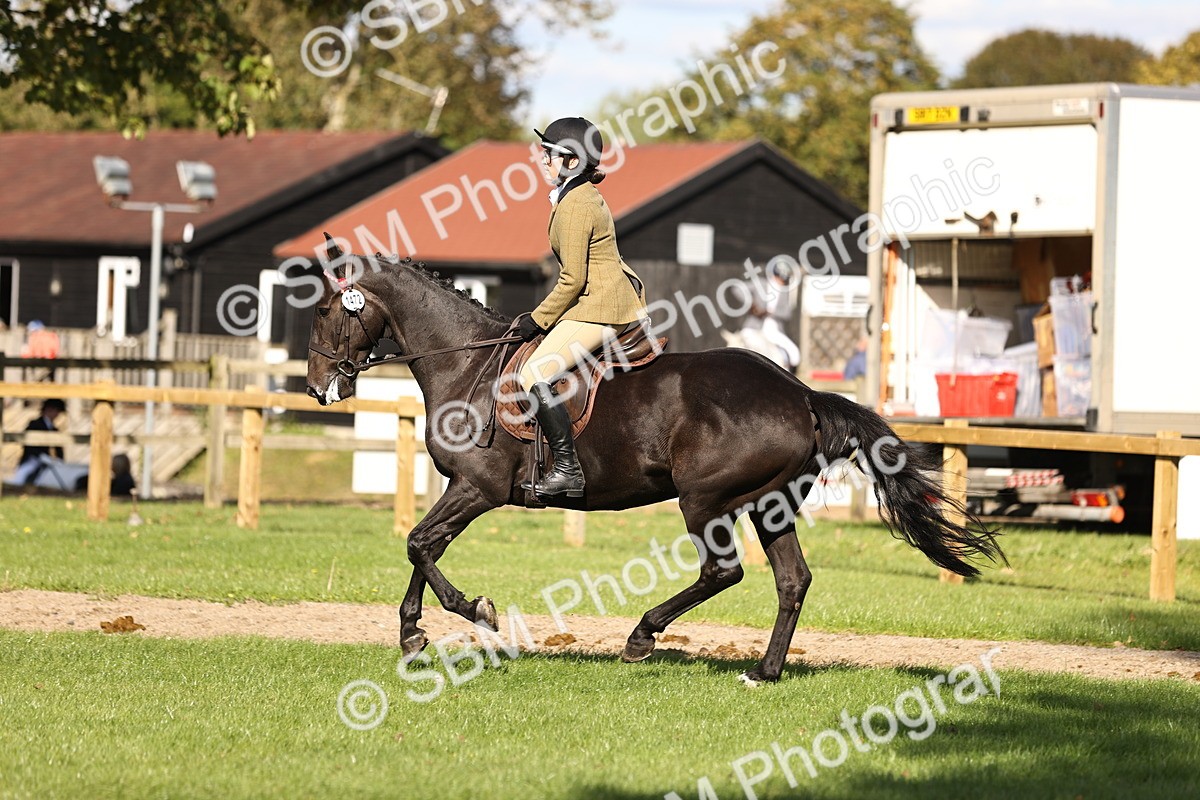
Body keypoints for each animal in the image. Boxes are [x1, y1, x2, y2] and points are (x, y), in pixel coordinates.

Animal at [305, 240, 1004, 685]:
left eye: (324, 310)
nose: (316, 388)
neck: (467, 363)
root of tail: (800, 392)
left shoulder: (478, 487)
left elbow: (421, 544)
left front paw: (473, 612)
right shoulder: (460, 487)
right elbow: (421, 546)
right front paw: (411, 634)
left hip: (704, 500)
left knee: (723, 572)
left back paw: (642, 637)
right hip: (768, 505)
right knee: (792, 580)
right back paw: (764, 672)